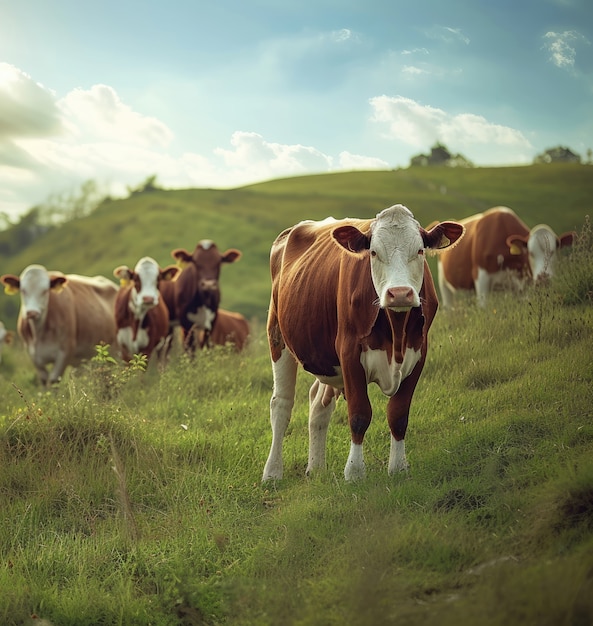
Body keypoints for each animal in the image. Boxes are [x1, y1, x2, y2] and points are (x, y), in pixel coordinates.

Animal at [262, 202, 464, 480]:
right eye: (374, 252)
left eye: (420, 250)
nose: (400, 293)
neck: (396, 332)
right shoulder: (349, 353)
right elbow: (359, 414)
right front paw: (355, 472)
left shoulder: (419, 352)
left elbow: (398, 414)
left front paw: (398, 468)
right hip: (277, 336)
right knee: (281, 404)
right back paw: (272, 472)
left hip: (326, 359)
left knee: (318, 404)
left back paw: (316, 468)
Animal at [434, 207, 572, 308]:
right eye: (531, 253)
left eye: (554, 251)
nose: (543, 278)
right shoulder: (481, 277)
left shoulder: (522, 286)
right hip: (444, 284)